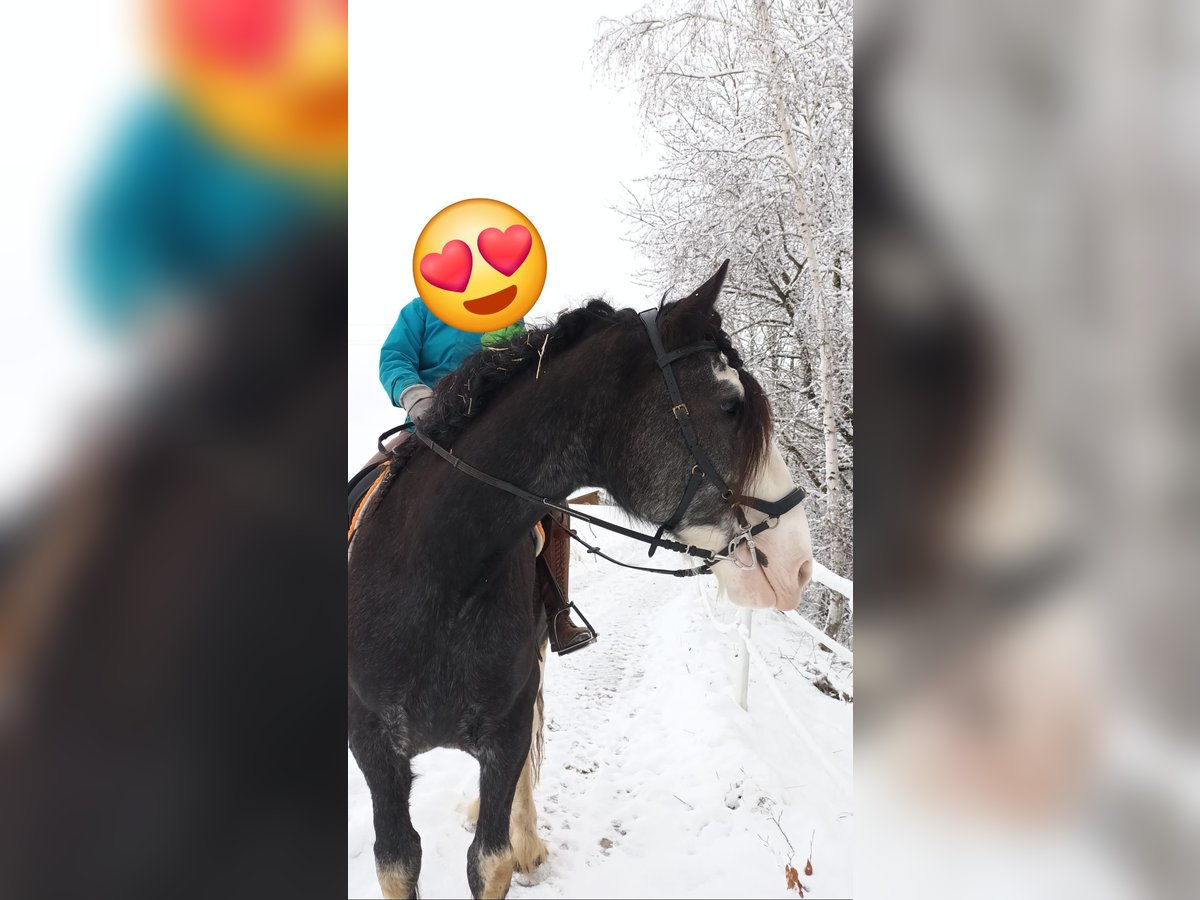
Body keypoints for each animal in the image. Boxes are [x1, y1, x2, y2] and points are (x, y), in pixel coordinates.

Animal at [348, 264, 816, 897]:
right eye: (730, 404)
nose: (799, 564)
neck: (440, 578)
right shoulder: (376, 751)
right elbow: (397, 860)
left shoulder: (506, 731)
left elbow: (490, 857)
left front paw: (515, 841)